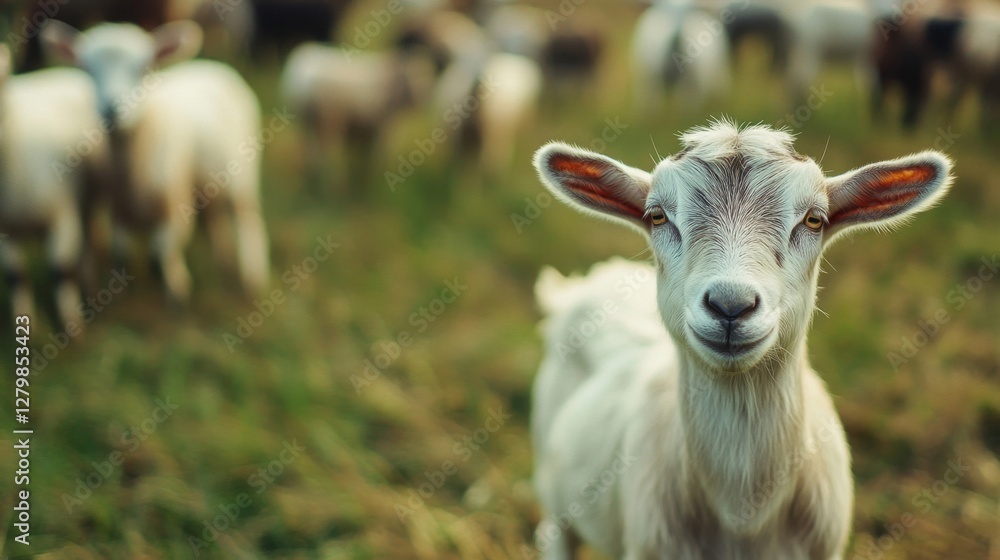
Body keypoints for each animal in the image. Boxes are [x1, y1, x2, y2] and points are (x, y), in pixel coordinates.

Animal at [0, 45, 107, 330]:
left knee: (90, 237)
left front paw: (72, 326)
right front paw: (25, 323)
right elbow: (16, 276)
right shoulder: (5, 231)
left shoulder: (64, 216)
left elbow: (61, 270)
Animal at [40, 20, 270, 304]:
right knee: (216, 217)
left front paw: (177, 291)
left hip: (242, 174)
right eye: (88, 71)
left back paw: (253, 278)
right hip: (209, 178)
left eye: (142, 69)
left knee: (248, 219)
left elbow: (162, 251)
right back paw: (223, 261)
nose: (112, 109)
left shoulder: (176, 207)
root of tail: (213, 65)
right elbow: (122, 252)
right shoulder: (119, 212)